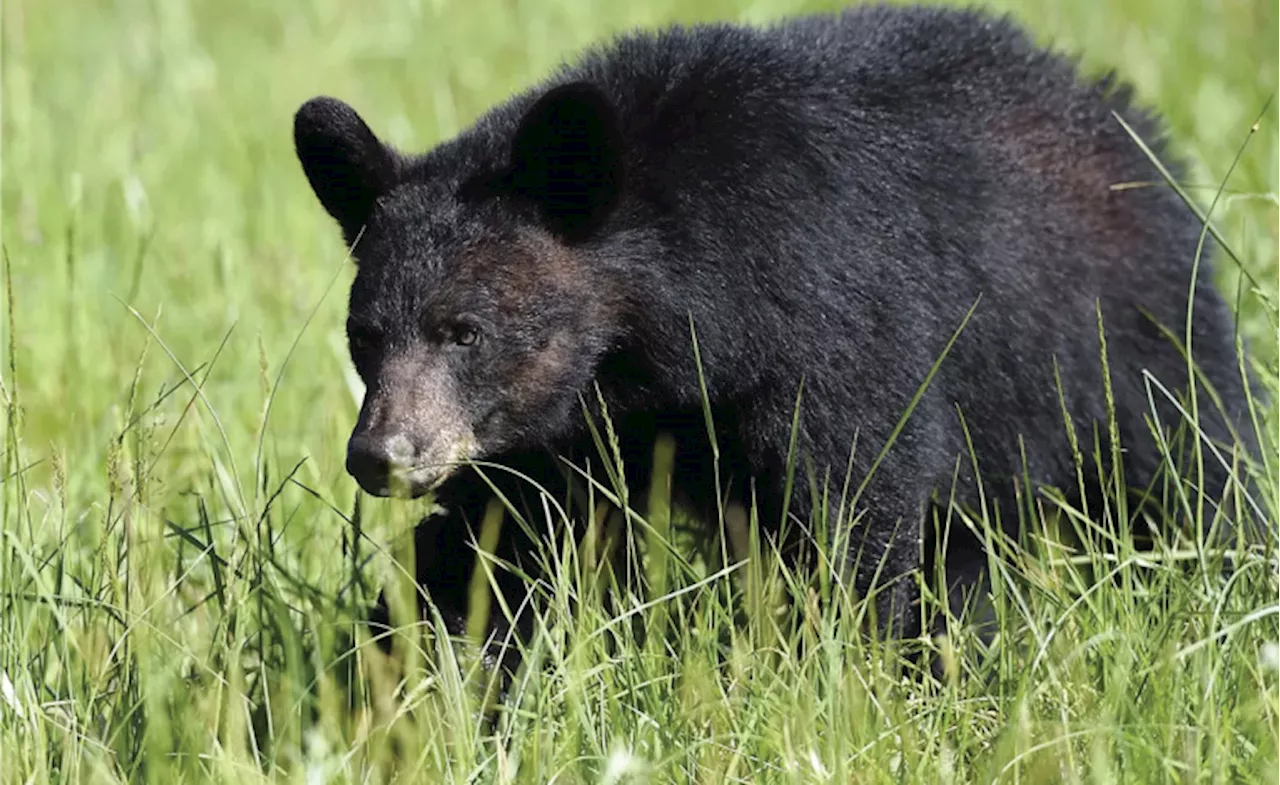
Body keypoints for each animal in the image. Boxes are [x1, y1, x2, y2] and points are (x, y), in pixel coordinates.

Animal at [290, 4, 1249, 665]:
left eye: (466, 331)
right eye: (363, 335)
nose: (380, 453)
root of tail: (1117, 109)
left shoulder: (840, 334)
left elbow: (859, 512)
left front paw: (844, 677)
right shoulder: (552, 438)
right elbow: (494, 553)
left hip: (1129, 337)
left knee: (1195, 468)